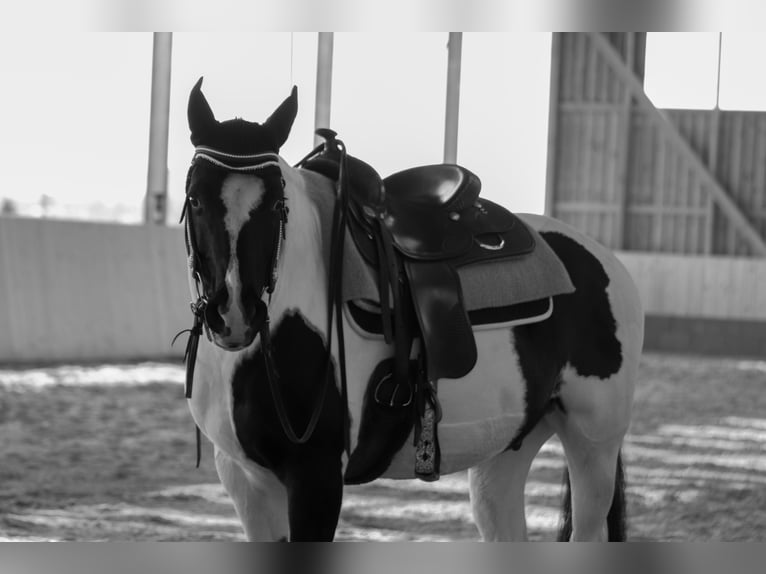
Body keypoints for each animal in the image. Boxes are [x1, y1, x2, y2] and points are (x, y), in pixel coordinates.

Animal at [179, 77, 644, 542]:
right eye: (195, 199)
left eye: (277, 205)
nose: (234, 314)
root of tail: (603, 258)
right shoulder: (243, 476)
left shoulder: (315, 475)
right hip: (507, 449)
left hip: (593, 444)